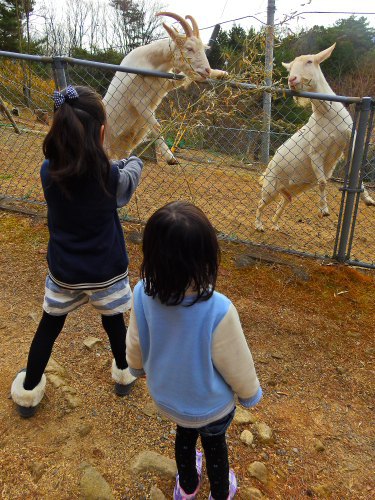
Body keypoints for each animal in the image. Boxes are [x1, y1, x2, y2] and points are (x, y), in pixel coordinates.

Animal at [103, 11, 228, 164]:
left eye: (203, 49)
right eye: (189, 48)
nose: (207, 71)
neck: (150, 63)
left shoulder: (166, 84)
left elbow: (185, 77)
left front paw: (222, 74)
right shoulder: (138, 101)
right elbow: (157, 127)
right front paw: (170, 158)